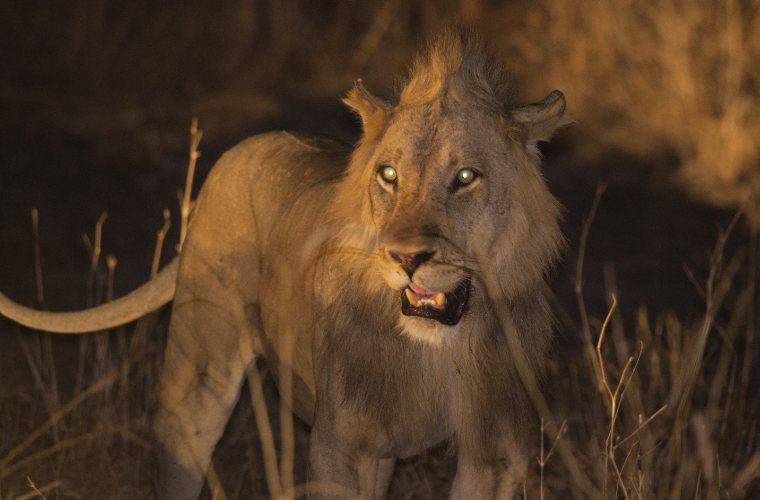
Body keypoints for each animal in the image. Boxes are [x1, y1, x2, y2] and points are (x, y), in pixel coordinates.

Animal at [1, 33, 568, 498]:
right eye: (388, 175)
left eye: (466, 177)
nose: (407, 259)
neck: (438, 349)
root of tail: (248, 143)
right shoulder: (341, 447)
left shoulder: (497, 453)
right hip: (199, 368)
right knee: (179, 449)